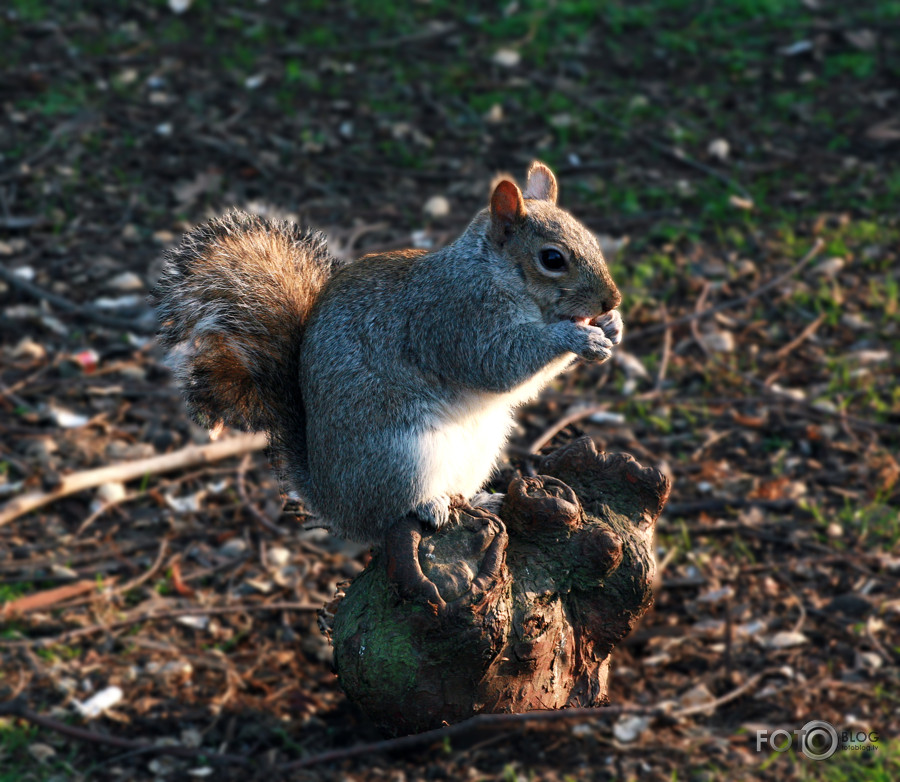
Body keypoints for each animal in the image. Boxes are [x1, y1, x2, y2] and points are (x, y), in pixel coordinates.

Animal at [151, 161, 623, 544]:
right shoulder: (452, 319)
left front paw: (610, 327)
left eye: (593, 240)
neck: (493, 273)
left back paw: (480, 501)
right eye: (552, 259)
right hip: (402, 455)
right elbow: (498, 364)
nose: (612, 300)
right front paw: (577, 338)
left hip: (479, 448)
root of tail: (335, 505)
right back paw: (430, 505)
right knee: (388, 517)